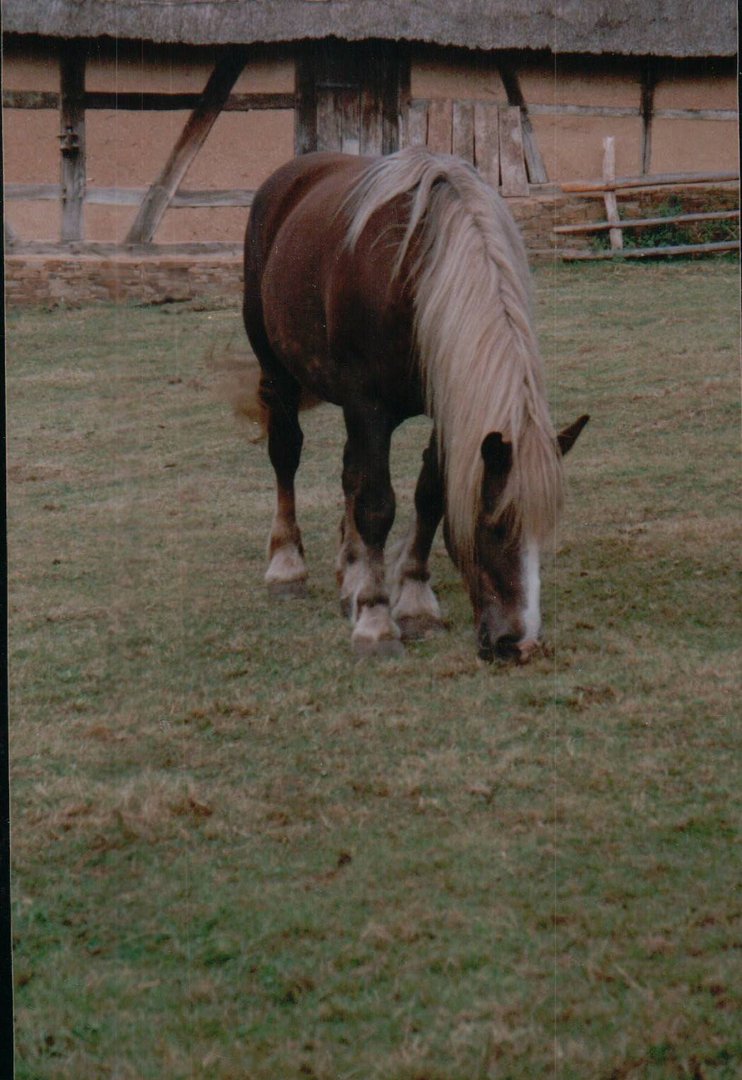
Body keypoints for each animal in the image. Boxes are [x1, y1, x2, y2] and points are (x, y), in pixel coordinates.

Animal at [240, 145, 587, 656]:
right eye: (495, 524)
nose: (518, 643)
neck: (414, 275)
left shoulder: (446, 405)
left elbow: (429, 496)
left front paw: (414, 600)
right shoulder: (368, 405)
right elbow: (377, 505)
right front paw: (376, 621)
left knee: (349, 473)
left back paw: (350, 576)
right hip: (276, 370)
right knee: (286, 454)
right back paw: (287, 568)